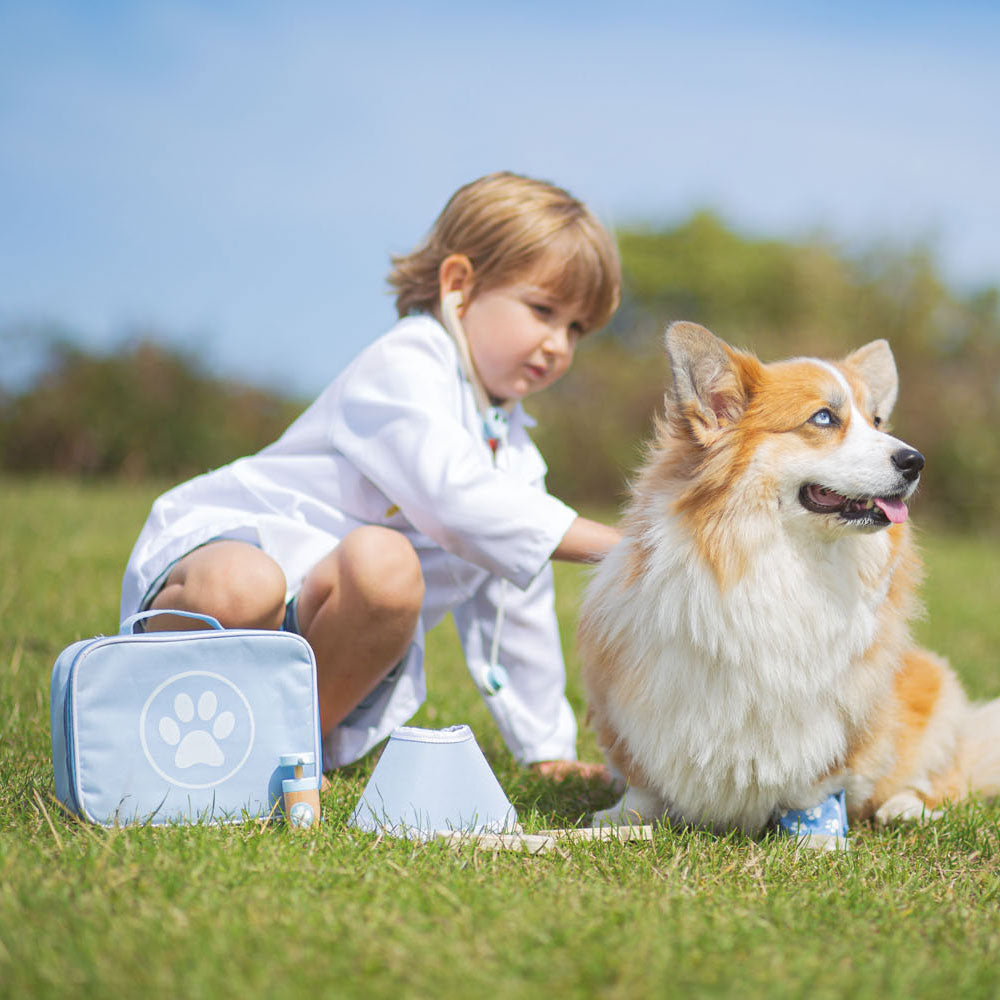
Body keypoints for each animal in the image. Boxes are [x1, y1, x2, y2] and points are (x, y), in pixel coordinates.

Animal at [580, 322, 1000, 836]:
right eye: (823, 418)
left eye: (877, 420)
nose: (915, 461)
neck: (781, 555)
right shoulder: (628, 692)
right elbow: (642, 773)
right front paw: (624, 817)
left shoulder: (843, 706)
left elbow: (816, 768)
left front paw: (816, 830)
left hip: (932, 684)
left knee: (940, 776)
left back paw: (904, 807)